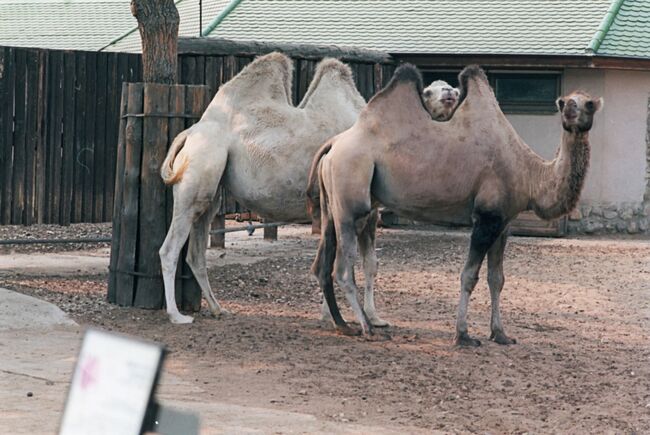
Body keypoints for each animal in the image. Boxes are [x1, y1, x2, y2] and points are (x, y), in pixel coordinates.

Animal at [308, 63, 604, 346]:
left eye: (588, 104)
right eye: (564, 102)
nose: (570, 110)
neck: (528, 173)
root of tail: (334, 144)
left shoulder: (504, 222)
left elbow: (497, 279)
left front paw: (500, 334)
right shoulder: (485, 217)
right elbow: (469, 276)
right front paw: (463, 335)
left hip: (335, 204)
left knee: (324, 263)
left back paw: (342, 324)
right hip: (351, 197)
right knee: (342, 269)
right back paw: (367, 328)